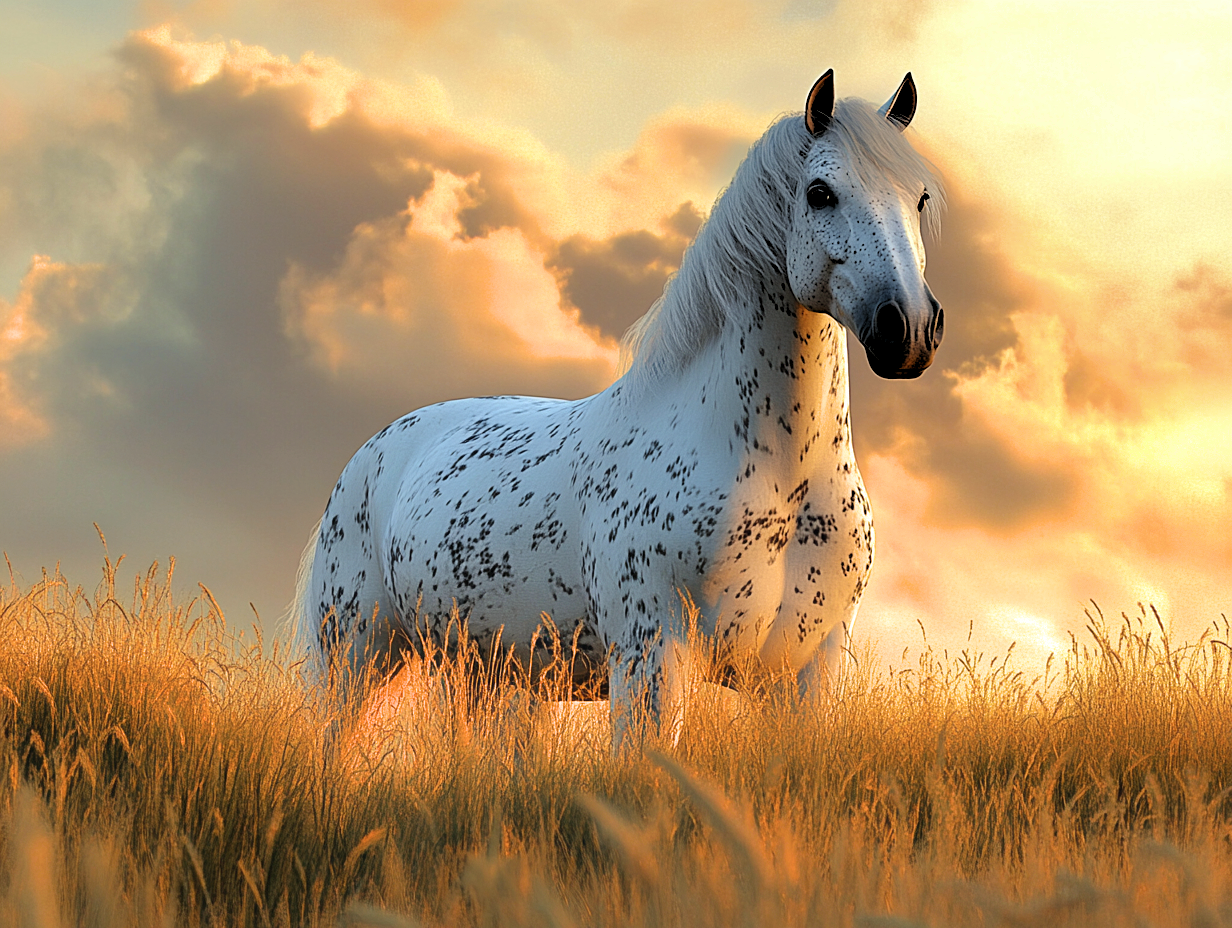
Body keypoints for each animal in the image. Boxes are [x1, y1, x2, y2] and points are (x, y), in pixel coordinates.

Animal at [290, 69, 946, 750]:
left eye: (920, 198)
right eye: (820, 193)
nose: (908, 329)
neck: (782, 475)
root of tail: (379, 448)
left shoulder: (807, 672)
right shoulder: (651, 659)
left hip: (492, 676)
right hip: (355, 655)